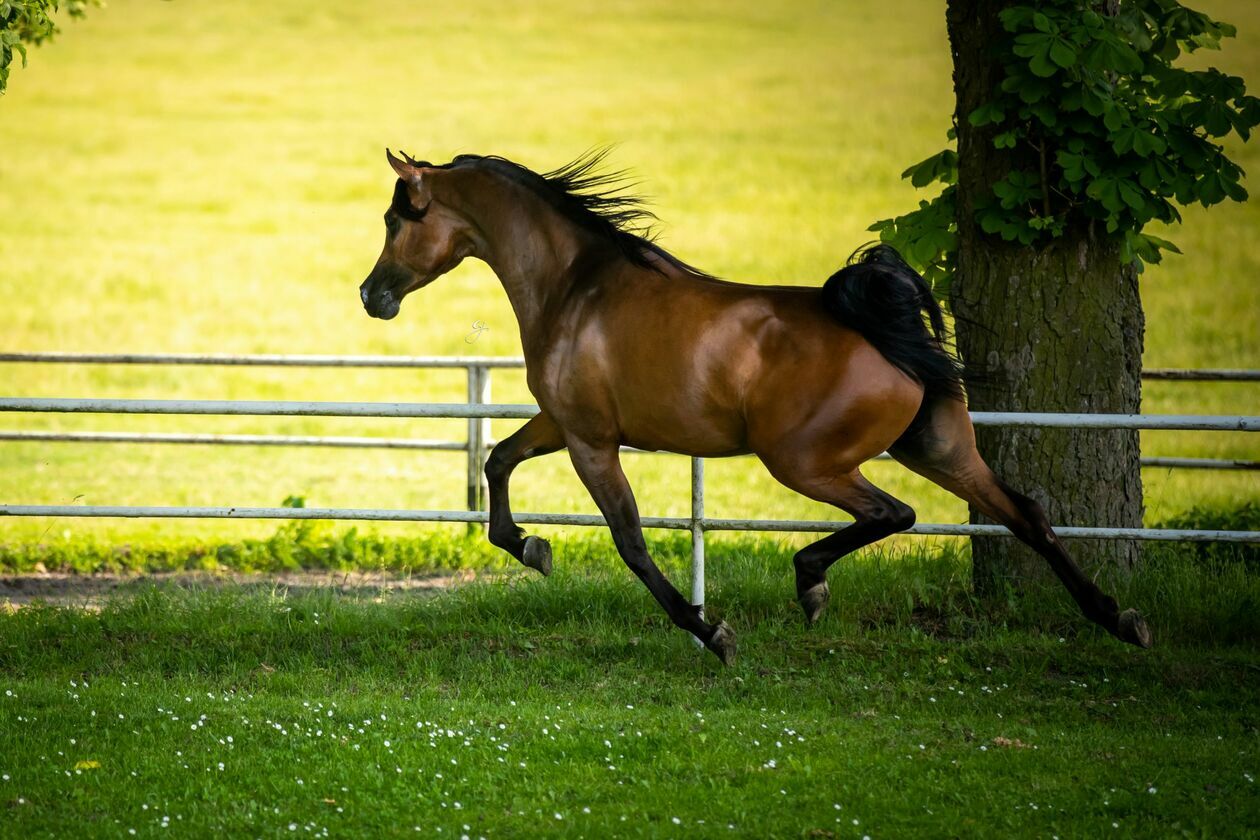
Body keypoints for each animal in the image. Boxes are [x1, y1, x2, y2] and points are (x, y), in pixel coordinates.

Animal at [357, 149, 1154, 664]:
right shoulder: (562, 423)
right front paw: (530, 546)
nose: (372, 295)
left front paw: (711, 633)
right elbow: (497, 461)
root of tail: (885, 324)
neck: (576, 286)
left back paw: (811, 582)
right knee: (1027, 515)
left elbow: (631, 541)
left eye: (398, 220)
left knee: (893, 515)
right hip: (939, 448)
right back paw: (1120, 620)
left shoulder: (591, 440)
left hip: (804, 462)